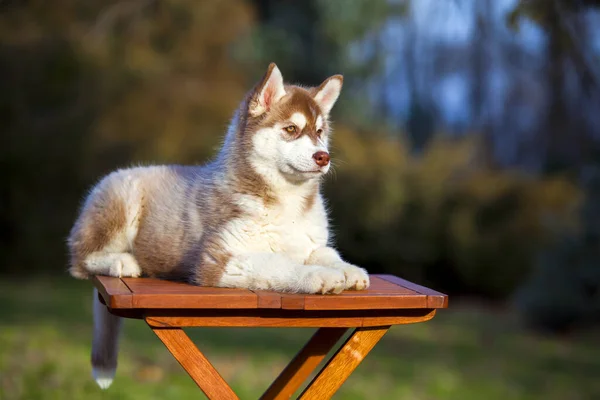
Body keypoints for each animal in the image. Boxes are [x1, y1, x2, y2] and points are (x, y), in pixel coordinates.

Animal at [69, 63, 370, 388]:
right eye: (291, 129)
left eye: (319, 132)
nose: (323, 157)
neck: (286, 200)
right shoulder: (218, 259)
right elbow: (278, 264)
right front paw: (318, 276)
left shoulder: (310, 243)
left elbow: (327, 254)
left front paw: (350, 270)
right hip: (122, 198)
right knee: (81, 260)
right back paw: (122, 262)